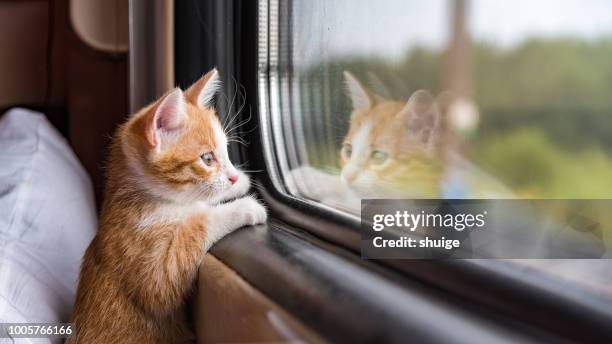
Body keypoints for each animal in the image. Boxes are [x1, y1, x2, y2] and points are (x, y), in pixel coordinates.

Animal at [68, 68, 266, 342]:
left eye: (227, 153)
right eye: (207, 158)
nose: (233, 176)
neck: (150, 196)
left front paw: (240, 182)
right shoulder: (151, 266)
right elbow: (197, 226)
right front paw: (244, 207)